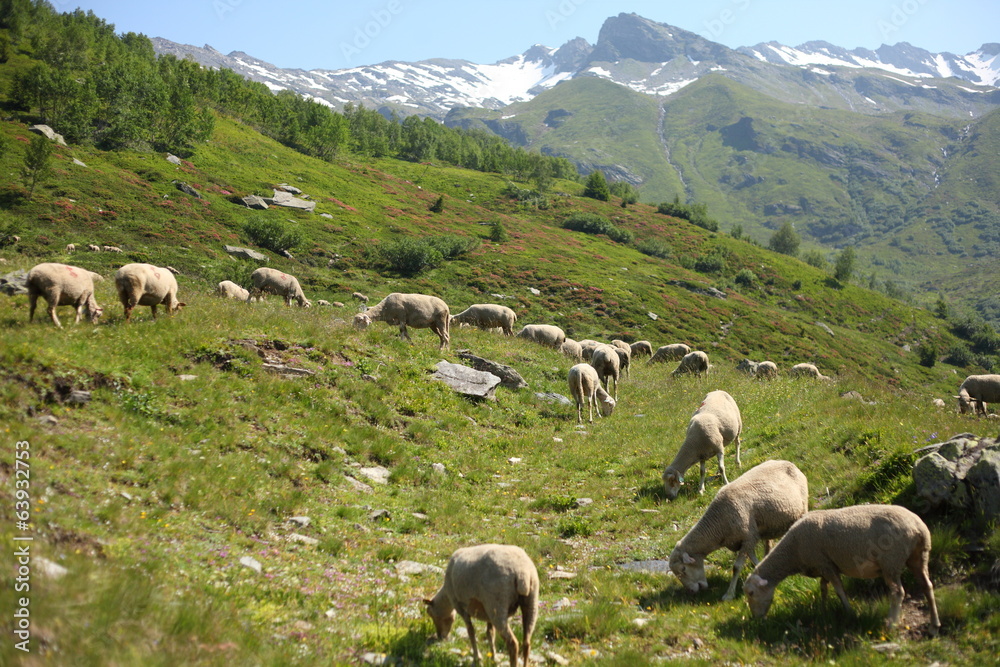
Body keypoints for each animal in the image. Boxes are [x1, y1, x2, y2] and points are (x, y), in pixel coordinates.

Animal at [669, 460, 808, 600]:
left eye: (683, 569)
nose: (692, 592)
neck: (718, 524)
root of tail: (787, 462)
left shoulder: (748, 538)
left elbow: (736, 567)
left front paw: (729, 595)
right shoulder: (749, 540)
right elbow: (755, 561)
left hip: (803, 507)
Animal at [744, 504, 940, 635]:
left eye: (751, 593)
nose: (755, 619)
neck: (793, 551)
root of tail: (918, 528)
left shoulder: (824, 564)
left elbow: (838, 589)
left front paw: (849, 612)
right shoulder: (824, 565)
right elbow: (823, 588)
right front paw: (823, 610)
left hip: (890, 561)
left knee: (898, 592)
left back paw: (891, 624)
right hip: (919, 557)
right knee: (927, 586)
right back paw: (934, 625)